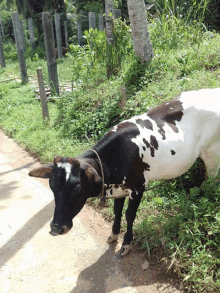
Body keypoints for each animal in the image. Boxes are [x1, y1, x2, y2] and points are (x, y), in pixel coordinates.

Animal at [28, 87, 220, 256]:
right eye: (52, 186)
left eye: (76, 187)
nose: (55, 228)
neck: (115, 158)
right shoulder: (119, 189)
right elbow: (117, 212)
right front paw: (113, 235)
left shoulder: (138, 187)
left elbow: (129, 215)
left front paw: (126, 243)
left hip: (212, 152)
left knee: (211, 181)